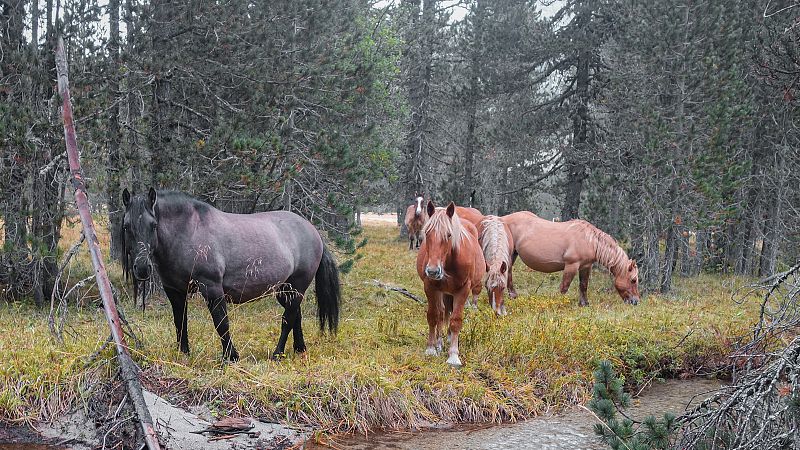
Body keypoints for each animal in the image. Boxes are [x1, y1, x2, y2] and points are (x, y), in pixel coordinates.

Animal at [120, 188, 340, 360]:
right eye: (126, 226)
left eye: (153, 225)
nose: (142, 268)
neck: (189, 232)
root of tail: (313, 230)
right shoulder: (174, 291)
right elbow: (180, 322)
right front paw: (183, 354)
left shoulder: (212, 288)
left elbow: (221, 323)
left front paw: (231, 356)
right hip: (284, 289)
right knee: (296, 315)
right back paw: (299, 349)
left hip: (297, 286)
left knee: (288, 317)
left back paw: (277, 354)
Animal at [416, 200, 484, 366]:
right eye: (427, 233)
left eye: (448, 234)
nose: (433, 271)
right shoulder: (430, 287)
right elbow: (434, 315)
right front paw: (431, 348)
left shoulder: (463, 290)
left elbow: (456, 320)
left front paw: (453, 355)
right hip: (442, 292)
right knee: (442, 313)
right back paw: (439, 342)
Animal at [504, 211, 640, 306]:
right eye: (633, 280)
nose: (636, 301)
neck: (590, 241)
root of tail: (503, 219)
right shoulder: (571, 265)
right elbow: (564, 287)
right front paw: (559, 303)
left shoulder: (586, 266)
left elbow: (583, 285)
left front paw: (584, 304)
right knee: (508, 272)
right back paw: (513, 296)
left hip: (514, 254)